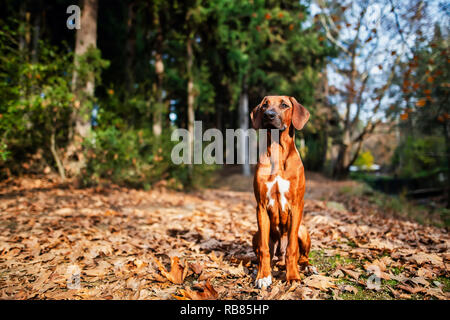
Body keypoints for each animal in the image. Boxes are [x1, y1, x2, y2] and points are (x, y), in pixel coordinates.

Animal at [251, 95, 312, 288]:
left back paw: (307, 267)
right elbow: (263, 249)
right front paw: (263, 276)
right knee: (265, 252)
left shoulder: (297, 205)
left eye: (284, 105)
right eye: (264, 105)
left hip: (303, 230)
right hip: (256, 234)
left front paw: (292, 276)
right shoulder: (261, 206)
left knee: (302, 255)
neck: (278, 151)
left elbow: (292, 248)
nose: (268, 115)